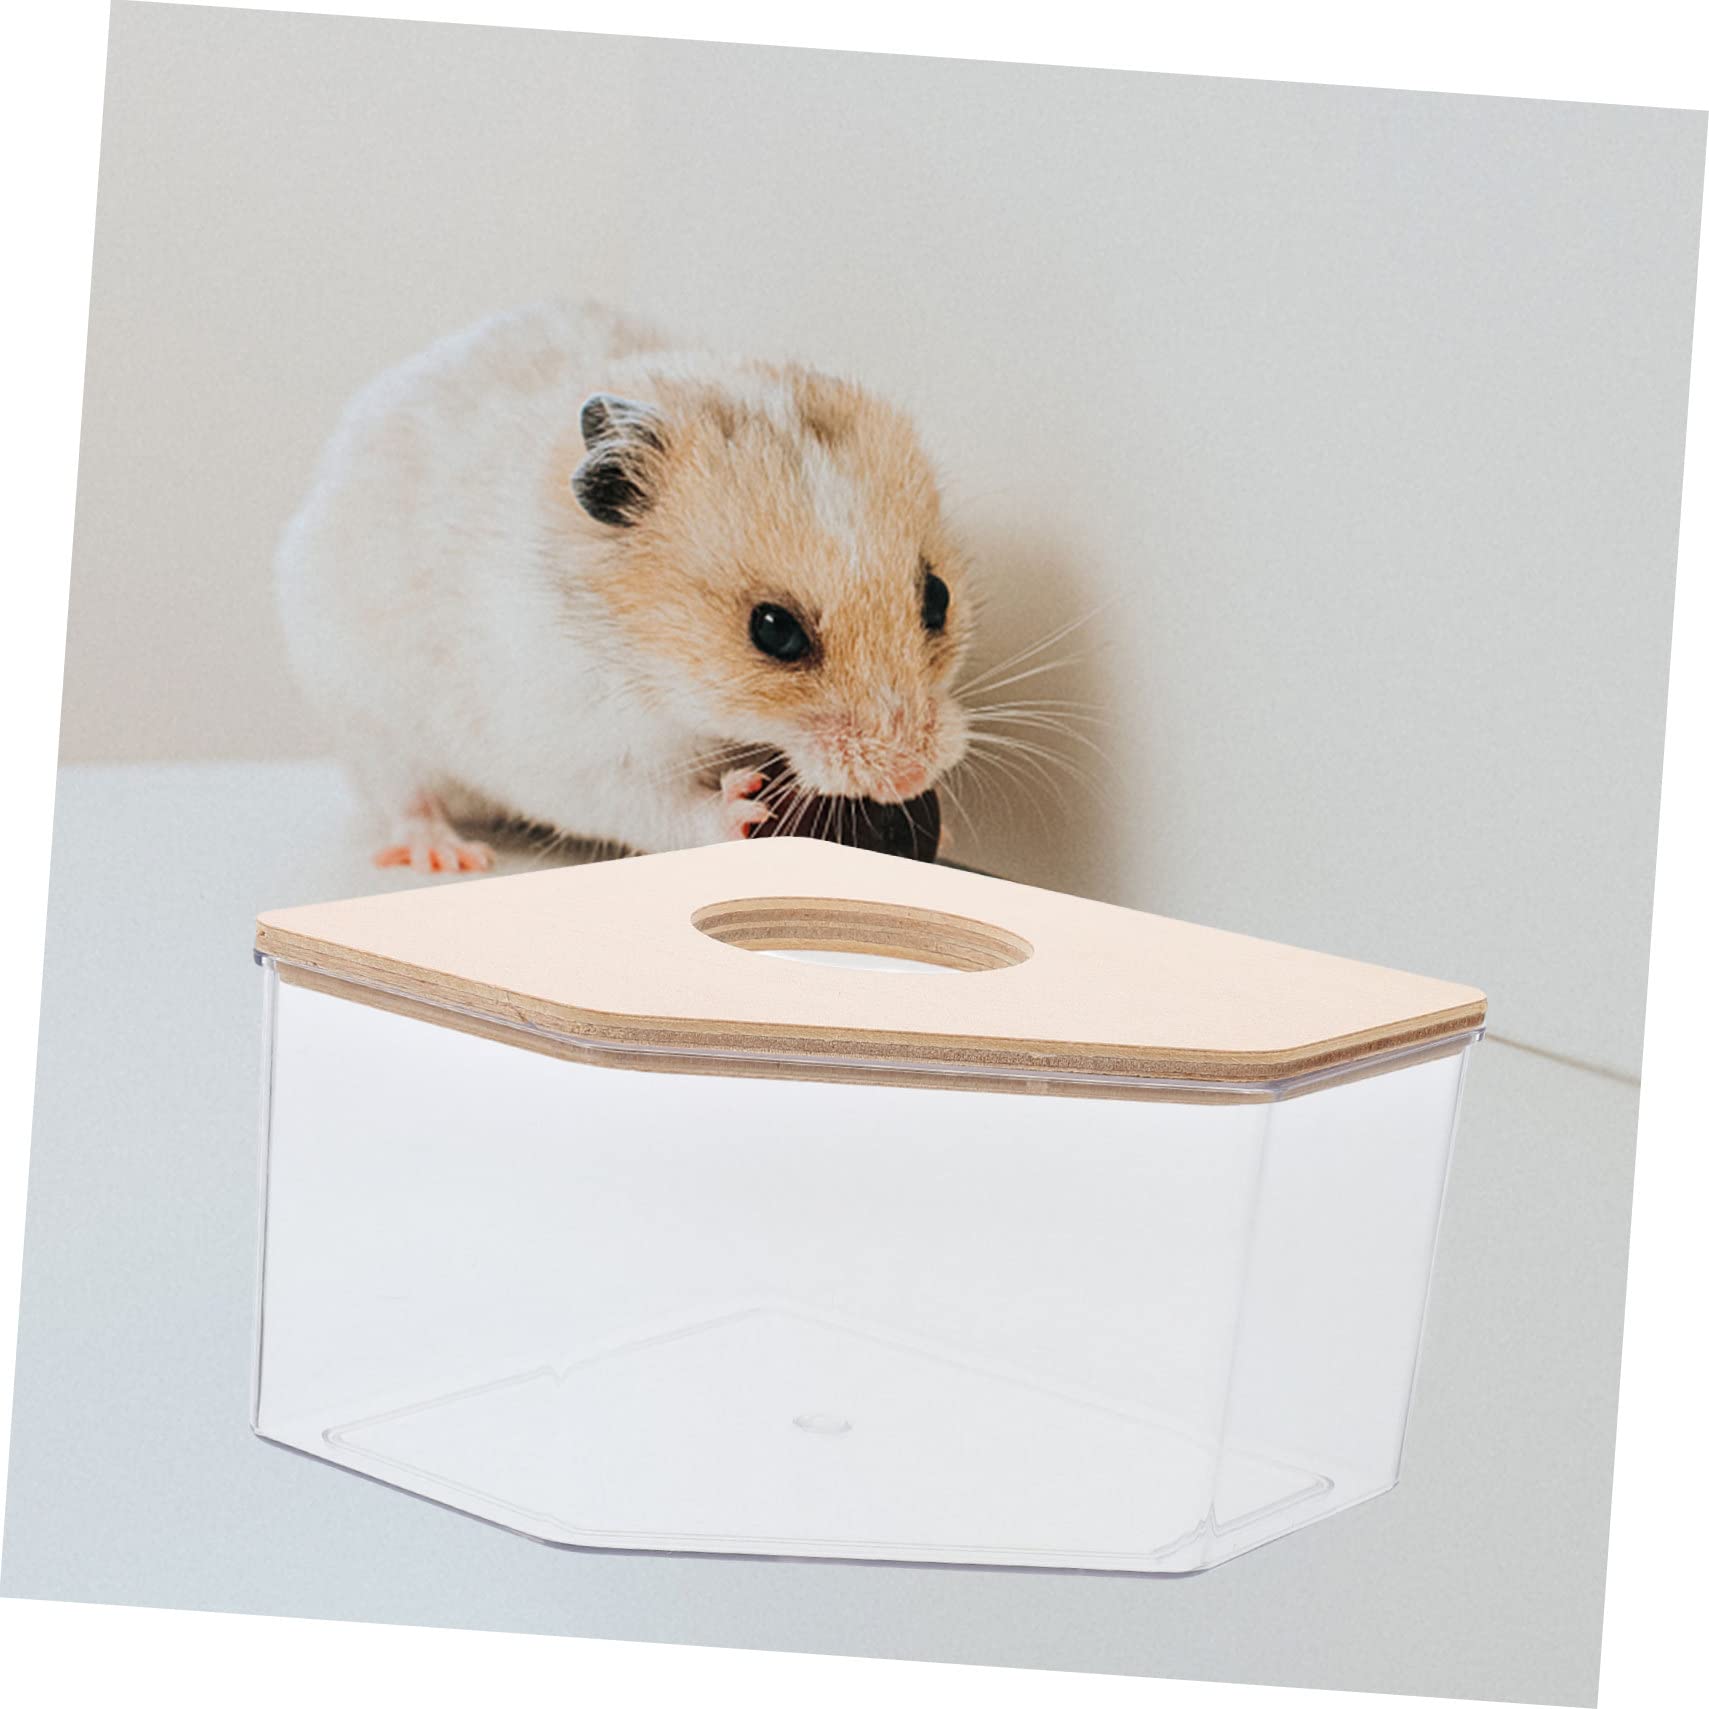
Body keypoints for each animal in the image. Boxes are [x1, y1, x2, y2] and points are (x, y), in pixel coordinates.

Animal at [277, 300, 975, 872]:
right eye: (774, 630)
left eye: (937, 598)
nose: (906, 776)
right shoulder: (571, 751)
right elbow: (651, 804)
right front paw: (741, 812)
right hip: (367, 718)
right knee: (403, 797)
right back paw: (447, 855)